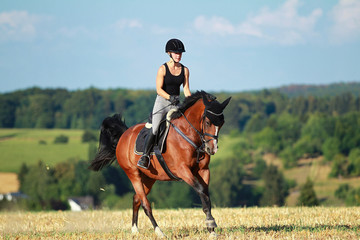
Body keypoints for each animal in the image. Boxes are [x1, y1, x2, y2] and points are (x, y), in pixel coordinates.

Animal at [89, 90, 232, 238]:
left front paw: (211, 230)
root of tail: (124, 135)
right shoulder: (183, 170)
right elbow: (201, 190)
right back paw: (159, 232)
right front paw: (210, 223)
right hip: (133, 173)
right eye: (208, 122)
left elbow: (206, 194)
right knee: (145, 204)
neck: (188, 134)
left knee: (136, 198)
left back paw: (135, 230)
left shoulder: (204, 170)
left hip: (149, 177)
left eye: (222, 123)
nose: (212, 149)